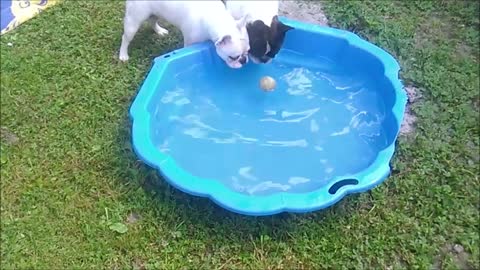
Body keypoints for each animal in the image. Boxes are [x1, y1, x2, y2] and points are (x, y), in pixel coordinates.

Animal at [118, 0, 249, 68]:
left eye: (248, 52)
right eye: (233, 57)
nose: (244, 60)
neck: (217, 18)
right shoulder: (190, 42)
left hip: (155, 12)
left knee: (153, 21)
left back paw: (160, 31)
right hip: (133, 20)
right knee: (125, 38)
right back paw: (123, 55)